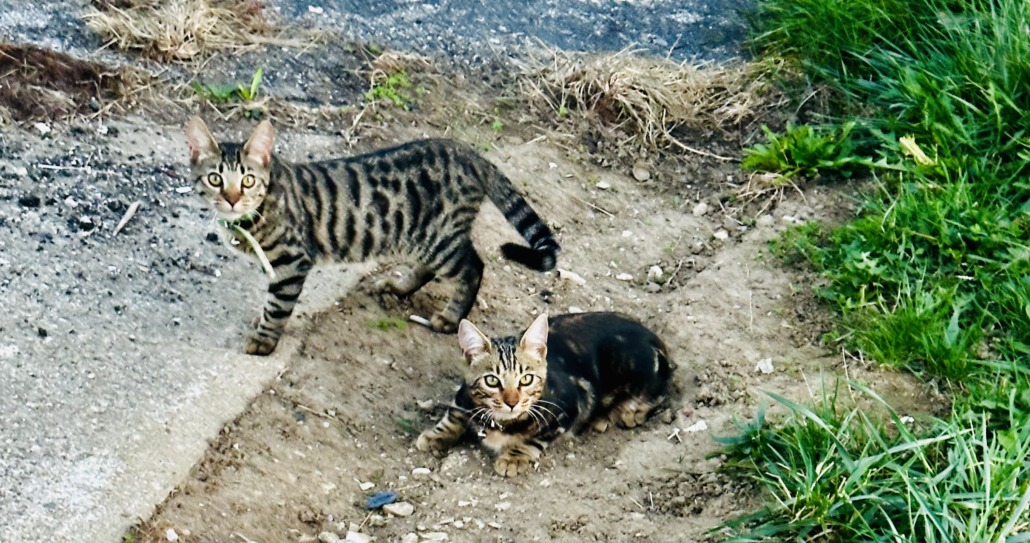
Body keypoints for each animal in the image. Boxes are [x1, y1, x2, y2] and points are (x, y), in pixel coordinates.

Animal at [184, 116, 560, 355]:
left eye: (247, 180)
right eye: (215, 179)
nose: (232, 199)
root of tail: (468, 153)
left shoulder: (293, 262)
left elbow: (278, 305)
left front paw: (264, 340)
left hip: (439, 238)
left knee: (473, 267)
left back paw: (450, 317)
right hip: (423, 238)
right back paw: (401, 286)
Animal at [417, 312, 674, 477]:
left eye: (526, 379)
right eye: (492, 380)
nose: (512, 402)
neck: (502, 423)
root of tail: (657, 340)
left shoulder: (572, 407)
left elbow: (539, 436)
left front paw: (514, 457)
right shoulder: (463, 395)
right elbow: (454, 413)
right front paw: (435, 435)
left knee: (660, 391)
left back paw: (624, 413)